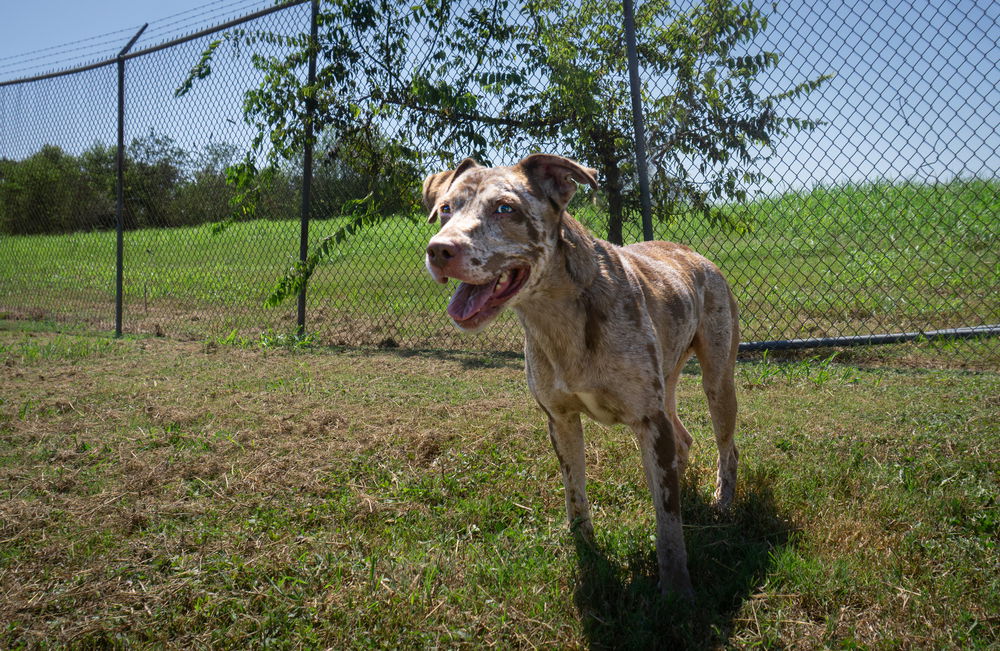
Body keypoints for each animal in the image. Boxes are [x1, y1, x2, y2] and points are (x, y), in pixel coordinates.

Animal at [418, 154, 740, 600]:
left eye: (506, 208)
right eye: (446, 208)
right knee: (684, 439)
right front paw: (586, 551)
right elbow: (576, 494)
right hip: (669, 385)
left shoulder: (649, 420)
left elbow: (667, 520)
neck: (556, 315)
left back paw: (722, 499)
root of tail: (693, 253)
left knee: (727, 446)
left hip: (717, 381)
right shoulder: (561, 420)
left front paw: (677, 589)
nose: (439, 250)